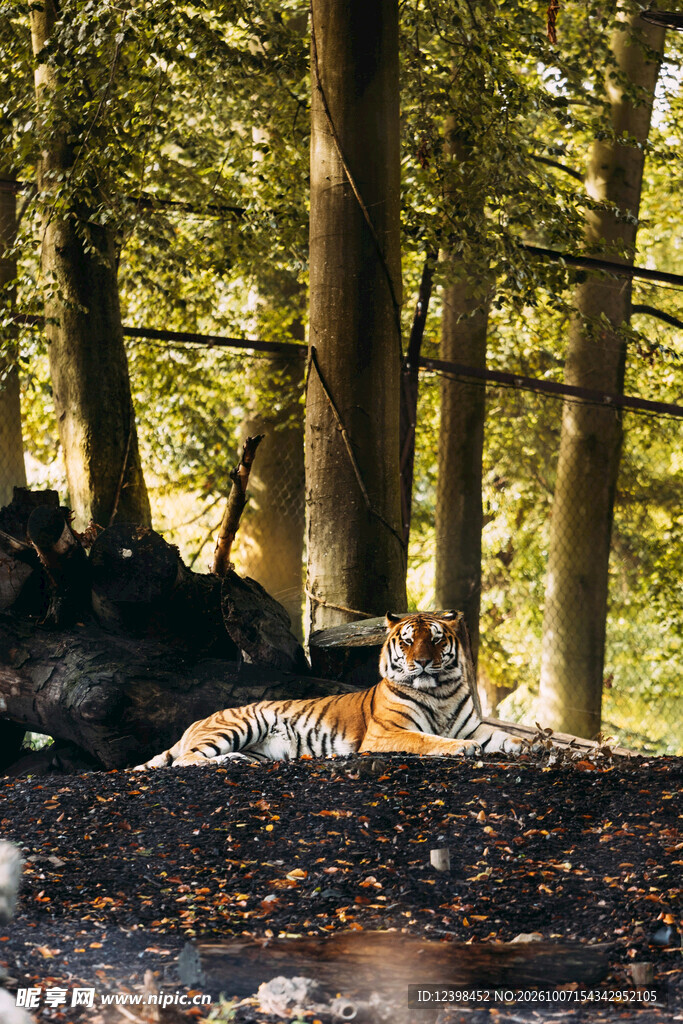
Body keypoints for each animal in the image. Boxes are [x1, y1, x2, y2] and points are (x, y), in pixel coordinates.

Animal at [135, 611, 530, 768]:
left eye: (434, 640)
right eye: (407, 641)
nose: (421, 662)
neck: (439, 692)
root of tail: (196, 722)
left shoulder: (473, 725)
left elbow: (505, 737)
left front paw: (532, 744)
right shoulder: (387, 734)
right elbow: (427, 740)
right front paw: (462, 749)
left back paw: (237, 760)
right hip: (243, 722)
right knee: (186, 760)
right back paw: (224, 760)